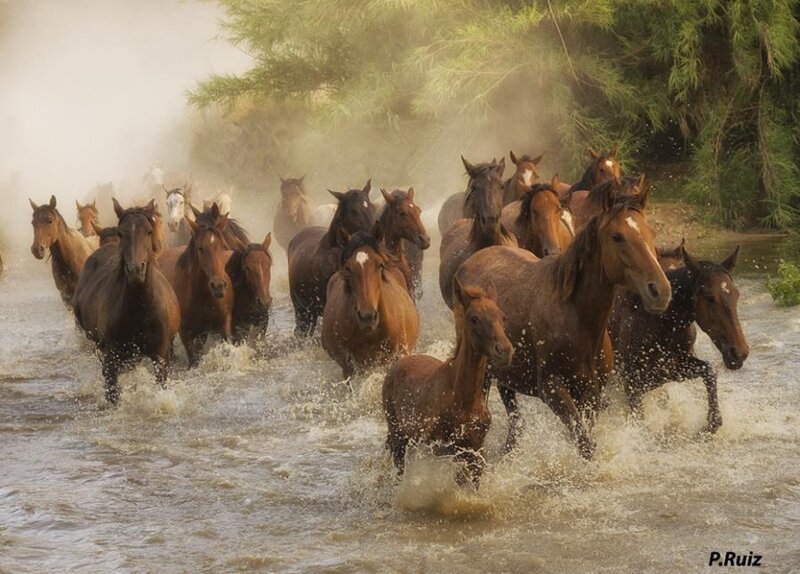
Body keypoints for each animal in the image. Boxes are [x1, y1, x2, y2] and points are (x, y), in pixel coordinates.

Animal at [72, 199, 179, 405]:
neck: (139, 308)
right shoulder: (111, 358)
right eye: (122, 232)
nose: (135, 270)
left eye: (149, 231)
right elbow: (112, 392)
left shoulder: (160, 355)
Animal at [161, 208, 234, 367]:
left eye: (223, 246)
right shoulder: (185, 331)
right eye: (201, 248)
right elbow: (194, 359)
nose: (218, 285)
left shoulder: (224, 320)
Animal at [382, 279, 513, 486]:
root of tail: (397, 365)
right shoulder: (438, 450)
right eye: (474, 318)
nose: (505, 351)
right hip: (398, 437)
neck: (462, 400)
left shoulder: (476, 452)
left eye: (503, 317)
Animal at [455, 188, 671, 459]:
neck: (575, 320)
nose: (660, 291)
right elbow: (585, 445)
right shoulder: (552, 390)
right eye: (617, 236)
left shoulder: (591, 393)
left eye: (651, 233)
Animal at [609, 244, 748, 433]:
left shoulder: (671, 371)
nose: (739, 353)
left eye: (736, 294)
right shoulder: (631, 384)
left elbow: (709, 371)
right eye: (710, 297)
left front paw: (712, 422)